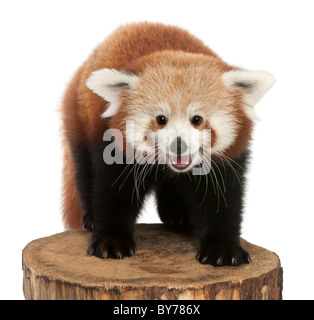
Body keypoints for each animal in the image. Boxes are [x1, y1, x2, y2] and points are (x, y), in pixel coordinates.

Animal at [60, 22, 274, 266]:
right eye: (161, 119)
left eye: (197, 119)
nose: (178, 146)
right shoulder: (114, 148)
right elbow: (112, 193)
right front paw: (111, 241)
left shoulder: (228, 159)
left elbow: (223, 200)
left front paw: (223, 249)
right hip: (79, 118)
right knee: (84, 170)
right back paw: (91, 218)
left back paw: (178, 216)